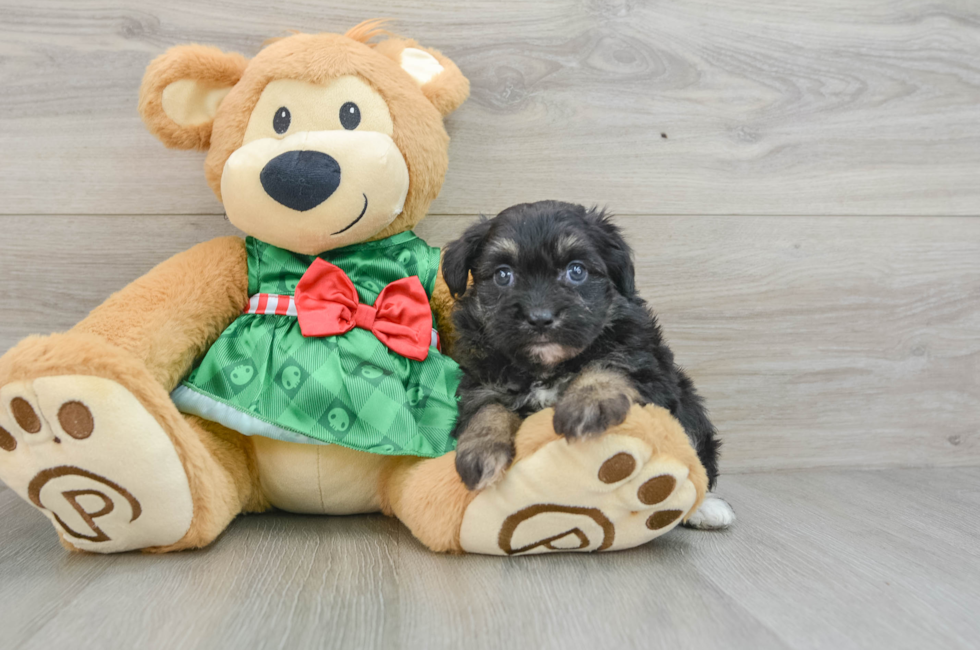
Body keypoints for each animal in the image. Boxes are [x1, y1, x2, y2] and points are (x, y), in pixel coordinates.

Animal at [444, 199, 736, 528]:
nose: (540, 317)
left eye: (577, 271)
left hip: (691, 409)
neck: (548, 367)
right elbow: (487, 408)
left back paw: (705, 508)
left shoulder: (646, 366)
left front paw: (587, 403)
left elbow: (606, 364)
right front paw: (480, 450)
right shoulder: (481, 383)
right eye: (503, 275)